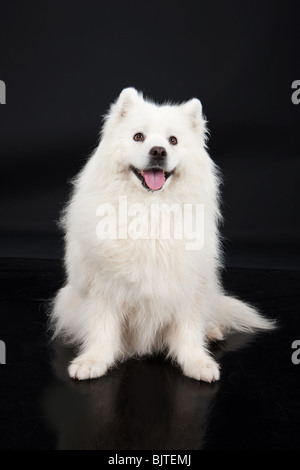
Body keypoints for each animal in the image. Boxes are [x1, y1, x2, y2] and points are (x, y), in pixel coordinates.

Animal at [51, 87, 272, 382]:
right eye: (138, 136)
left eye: (173, 140)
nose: (158, 151)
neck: (150, 210)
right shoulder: (103, 288)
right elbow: (102, 330)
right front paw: (93, 361)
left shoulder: (188, 285)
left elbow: (188, 332)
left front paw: (197, 362)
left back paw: (212, 330)